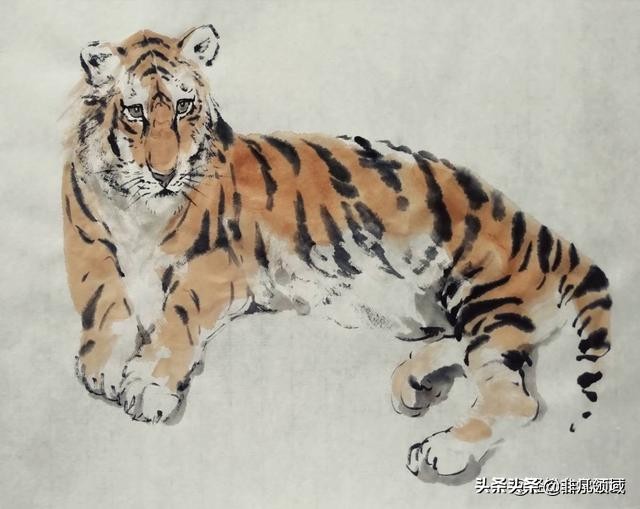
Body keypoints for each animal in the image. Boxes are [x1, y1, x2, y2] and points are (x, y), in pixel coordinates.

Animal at [62, 25, 612, 483]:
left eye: (182, 106)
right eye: (135, 112)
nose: (164, 173)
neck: (138, 206)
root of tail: (549, 234)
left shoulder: (218, 265)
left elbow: (177, 316)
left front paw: (147, 385)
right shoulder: (87, 246)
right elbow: (105, 303)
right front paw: (103, 367)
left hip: (484, 293)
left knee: (517, 399)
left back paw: (442, 449)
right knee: (466, 349)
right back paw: (414, 379)